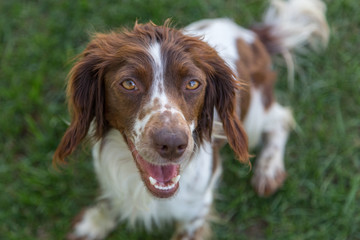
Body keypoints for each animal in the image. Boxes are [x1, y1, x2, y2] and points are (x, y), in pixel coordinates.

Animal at [54, 0, 330, 239]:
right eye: (129, 83)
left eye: (193, 83)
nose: (172, 144)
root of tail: (250, 35)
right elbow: (113, 196)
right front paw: (94, 222)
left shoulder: (197, 209)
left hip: (251, 115)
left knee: (281, 118)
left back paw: (269, 170)